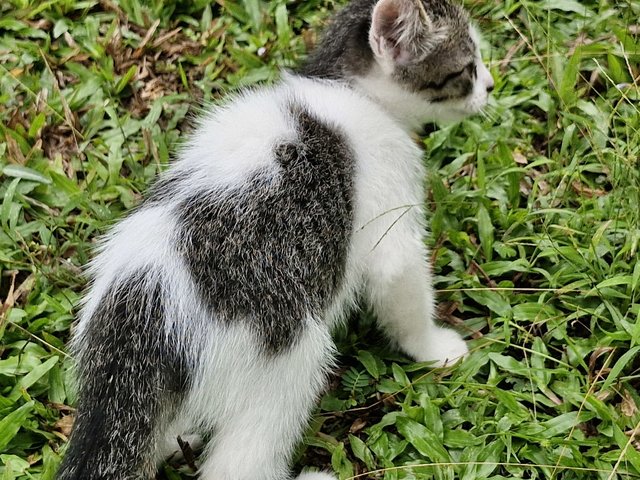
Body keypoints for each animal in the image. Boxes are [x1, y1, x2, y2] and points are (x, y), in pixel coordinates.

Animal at [56, 0, 496, 480]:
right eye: (467, 67)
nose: (491, 86)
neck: (345, 86)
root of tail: (135, 319)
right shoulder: (389, 214)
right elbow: (403, 287)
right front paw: (433, 347)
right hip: (286, 357)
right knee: (237, 462)